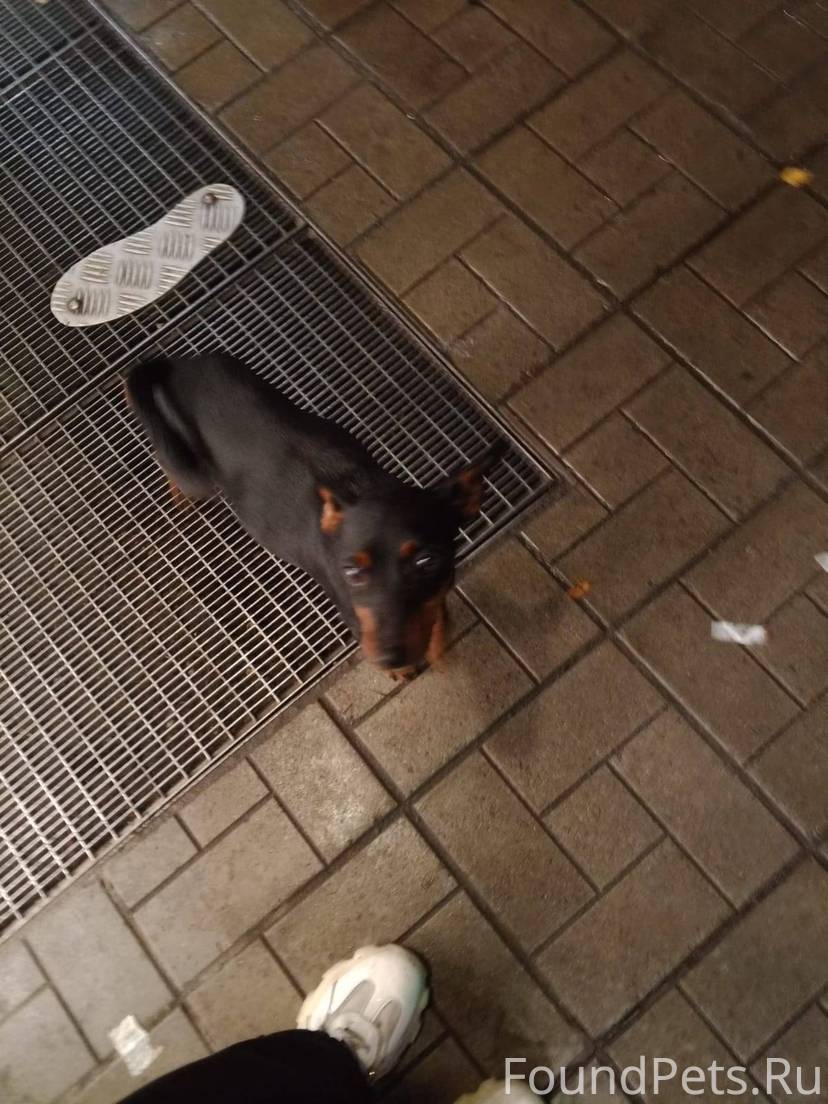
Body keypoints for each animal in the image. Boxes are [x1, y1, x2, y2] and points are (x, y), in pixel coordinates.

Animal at [125, 352, 503, 676]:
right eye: (350, 571)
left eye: (427, 560)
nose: (389, 657)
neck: (363, 485)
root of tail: (171, 366)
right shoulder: (354, 615)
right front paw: (405, 668)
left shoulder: (438, 590)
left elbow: (436, 617)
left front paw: (437, 645)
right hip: (190, 464)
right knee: (165, 455)